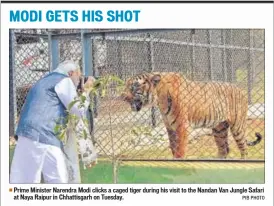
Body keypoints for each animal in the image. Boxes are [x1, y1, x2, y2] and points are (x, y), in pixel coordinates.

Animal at [122, 72, 264, 159]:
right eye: (127, 85)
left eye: (134, 86)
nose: (123, 97)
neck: (159, 99)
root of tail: (241, 90)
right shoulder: (170, 127)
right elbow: (173, 147)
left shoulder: (182, 126)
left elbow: (180, 150)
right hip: (219, 129)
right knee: (224, 149)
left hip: (237, 126)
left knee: (244, 148)